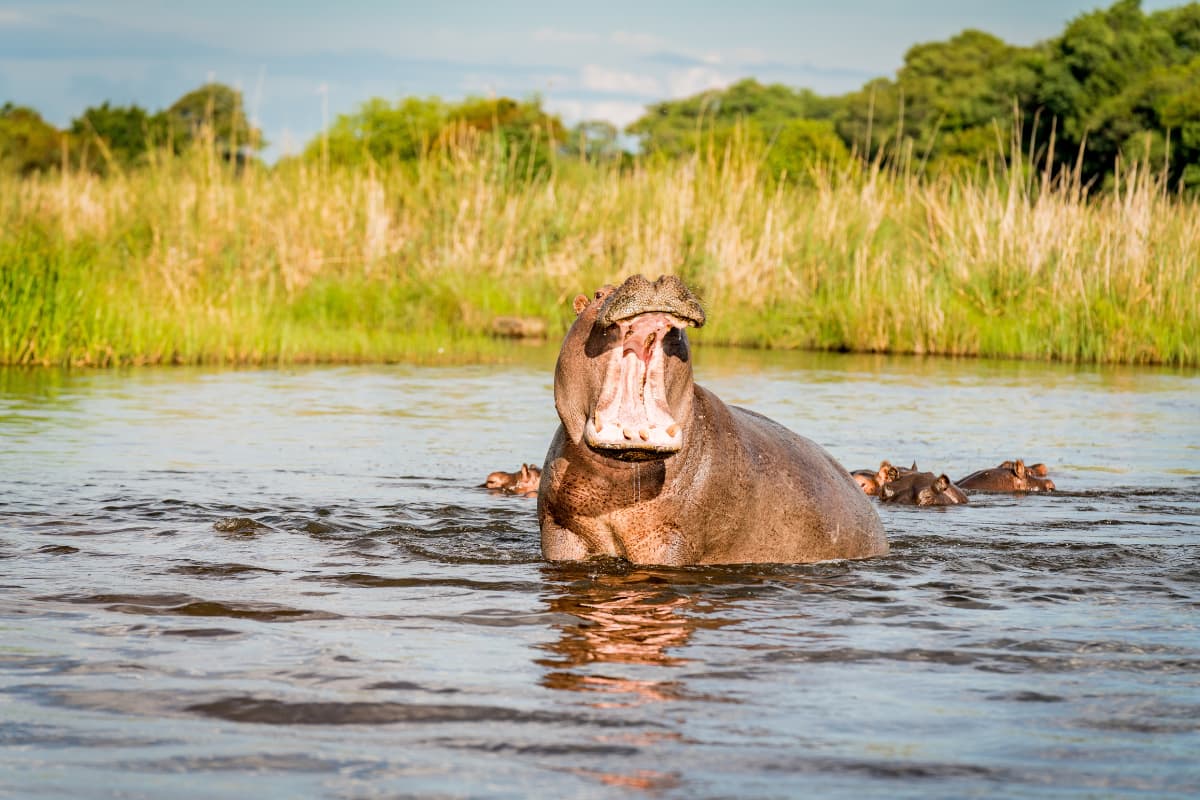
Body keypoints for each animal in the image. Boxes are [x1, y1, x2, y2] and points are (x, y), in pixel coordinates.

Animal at [537, 275, 887, 566]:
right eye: (598, 294)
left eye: (677, 333)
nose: (652, 279)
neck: (615, 485)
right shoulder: (560, 530)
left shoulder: (672, 539)